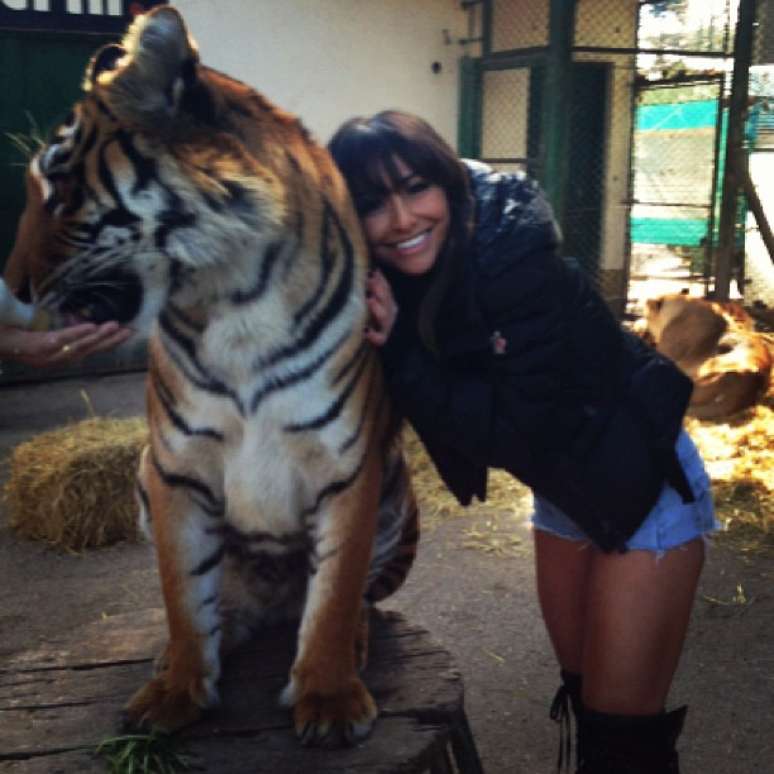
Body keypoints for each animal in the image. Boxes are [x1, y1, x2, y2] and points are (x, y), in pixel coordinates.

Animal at [6, 3, 418, 748]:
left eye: (60, 185)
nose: (12, 287)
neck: (233, 296)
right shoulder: (175, 465)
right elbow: (182, 594)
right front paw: (174, 692)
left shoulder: (347, 464)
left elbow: (336, 591)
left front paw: (329, 698)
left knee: (354, 599)